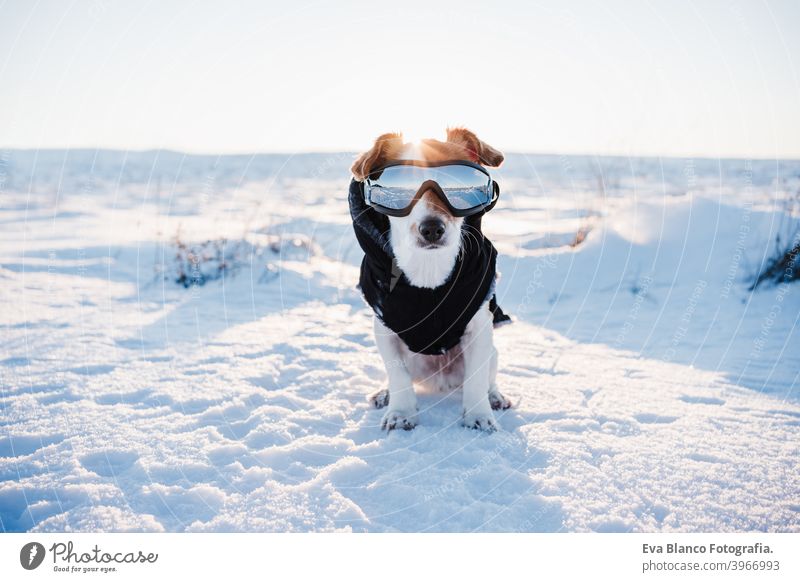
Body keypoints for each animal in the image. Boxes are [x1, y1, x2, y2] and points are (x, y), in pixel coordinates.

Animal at [350, 129, 512, 434]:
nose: (432, 229)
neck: (428, 276)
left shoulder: (480, 329)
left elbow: (476, 379)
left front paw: (478, 416)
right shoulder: (385, 329)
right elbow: (397, 374)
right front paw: (401, 413)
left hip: (494, 352)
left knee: (488, 377)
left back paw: (495, 397)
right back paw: (384, 394)